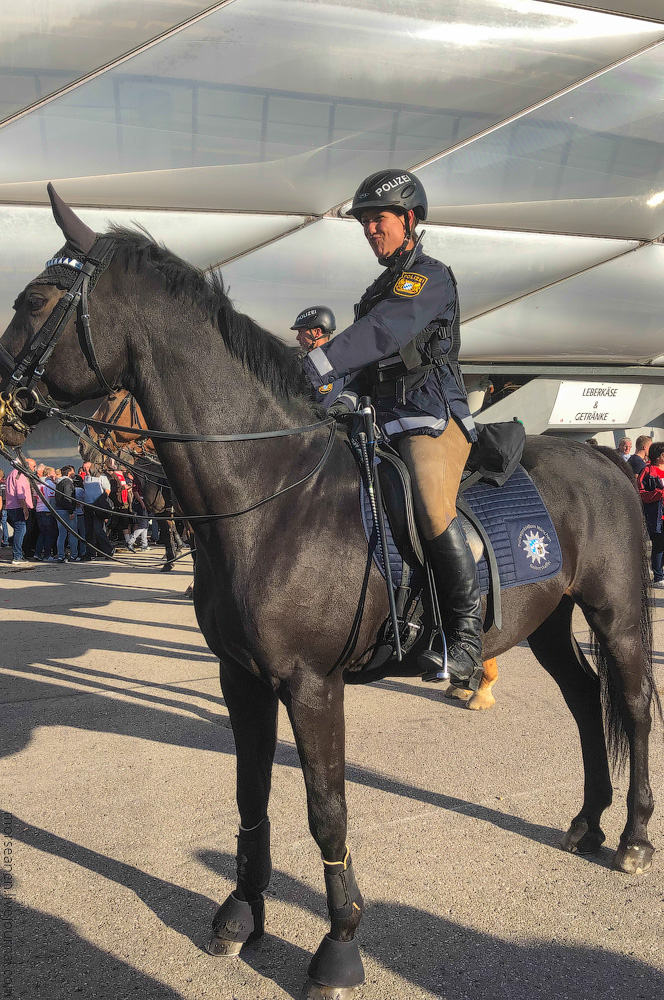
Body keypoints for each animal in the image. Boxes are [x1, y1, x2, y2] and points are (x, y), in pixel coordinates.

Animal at [1, 189, 660, 1000]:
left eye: (36, 298)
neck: (270, 497)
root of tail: (603, 461)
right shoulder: (242, 678)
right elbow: (251, 794)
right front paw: (241, 915)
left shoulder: (313, 684)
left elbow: (327, 809)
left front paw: (339, 946)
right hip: (548, 624)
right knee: (583, 699)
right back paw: (589, 821)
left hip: (618, 615)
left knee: (632, 704)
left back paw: (633, 836)